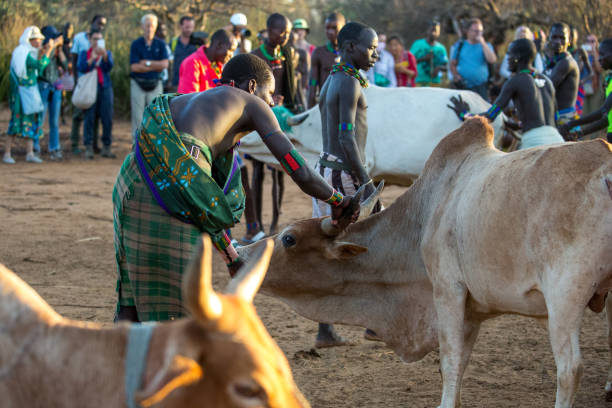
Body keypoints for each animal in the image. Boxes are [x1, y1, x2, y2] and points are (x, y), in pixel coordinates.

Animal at [239, 116, 612, 406]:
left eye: (289, 238)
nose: (241, 253)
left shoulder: (447, 289)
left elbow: (449, 360)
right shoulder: (471, 309)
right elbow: (459, 362)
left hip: (564, 296)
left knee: (570, 369)